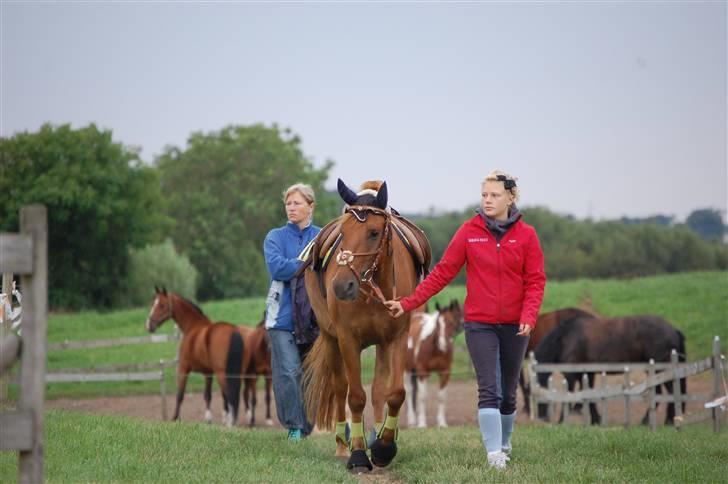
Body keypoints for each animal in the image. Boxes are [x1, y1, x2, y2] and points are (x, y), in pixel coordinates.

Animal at [144, 288, 249, 428]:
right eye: (152, 304)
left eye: (161, 305)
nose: (149, 325)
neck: (193, 326)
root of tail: (233, 332)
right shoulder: (208, 373)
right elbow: (207, 395)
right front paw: (208, 419)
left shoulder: (183, 368)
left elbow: (180, 395)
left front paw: (175, 418)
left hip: (222, 373)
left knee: (229, 394)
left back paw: (230, 422)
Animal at [302, 179, 430, 472]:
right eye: (343, 232)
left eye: (373, 232)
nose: (340, 285)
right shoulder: (347, 340)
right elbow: (356, 397)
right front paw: (359, 454)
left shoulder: (397, 338)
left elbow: (394, 393)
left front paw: (384, 447)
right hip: (330, 339)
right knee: (340, 387)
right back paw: (342, 444)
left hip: (381, 344)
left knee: (379, 390)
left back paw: (377, 435)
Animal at [400, 298, 464, 428]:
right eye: (438, 325)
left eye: (452, 323)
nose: (443, 344)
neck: (436, 350)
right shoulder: (422, 372)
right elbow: (423, 396)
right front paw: (422, 423)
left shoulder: (445, 372)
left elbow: (441, 397)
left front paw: (442, 423)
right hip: (407, 369)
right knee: (410, 391)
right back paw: (412, 420)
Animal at [532, 314, 684, 424]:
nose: (541, 418)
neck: (565, 338)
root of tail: (673, 330)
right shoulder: (586, 374)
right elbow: (588, 394)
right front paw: (596, 420)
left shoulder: (571, 375)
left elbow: (568, 396)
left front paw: (562, 421)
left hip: (661, 370)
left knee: (670, 392)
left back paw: (664, 421)